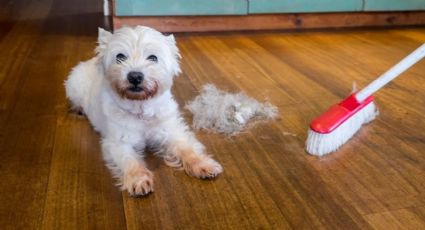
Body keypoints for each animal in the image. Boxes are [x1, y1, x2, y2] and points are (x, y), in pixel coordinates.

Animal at [64, 26, 222, 196]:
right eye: (120, 57)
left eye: (153, 58)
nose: (135, 76)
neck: (141, 109)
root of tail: (89, 62)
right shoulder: (118, 143)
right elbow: (130, 160)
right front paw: (138, 180)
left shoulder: (172, 131)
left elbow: (187, 149)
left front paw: (203, 164)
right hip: (73, 87)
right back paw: (79, 109)